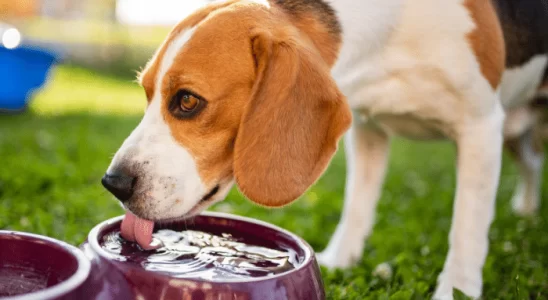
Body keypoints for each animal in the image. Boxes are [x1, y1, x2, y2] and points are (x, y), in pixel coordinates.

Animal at [101, 0, 548, 298]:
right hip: (515, 130)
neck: (391, 35)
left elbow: (468, 227)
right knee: (530, 162)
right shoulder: (368, 128)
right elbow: (357, 204)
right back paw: (526, 209)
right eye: (146, 93)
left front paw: (457, 287)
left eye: (188, 101)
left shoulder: (479, 126)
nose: (114, 183)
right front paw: (340, 260)